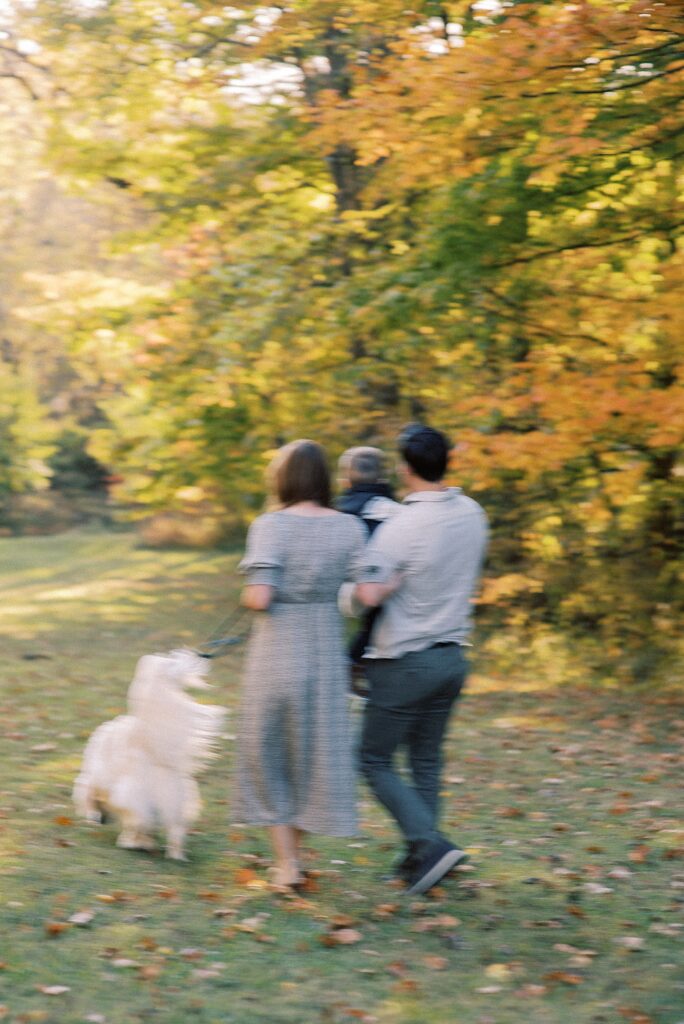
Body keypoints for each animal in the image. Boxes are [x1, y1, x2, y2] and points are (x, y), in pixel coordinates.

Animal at [73, 651, 225, 860]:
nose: (102, 820)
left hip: (134, 796)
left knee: (137, 822)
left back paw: (132, 842)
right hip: (174, 800)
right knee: (174, 830)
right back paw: (175, 855)